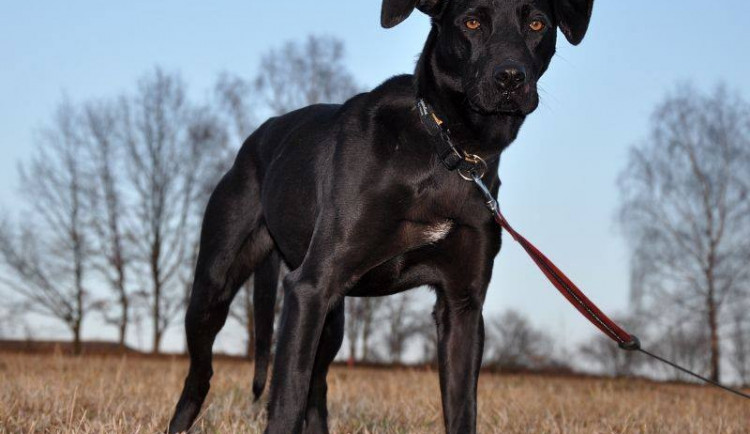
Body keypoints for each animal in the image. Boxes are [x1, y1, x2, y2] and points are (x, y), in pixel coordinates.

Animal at [169, 0, 592, 432]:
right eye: (472, 22)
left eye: (537, 24)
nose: (509, 78)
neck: (448, 149)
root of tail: (258, 136)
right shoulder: (309, 289)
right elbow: (286, 401)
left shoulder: (463, 305)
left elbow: (462, 410)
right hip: (213, 289)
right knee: (201, 376)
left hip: (332, 322)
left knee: (316, 389)